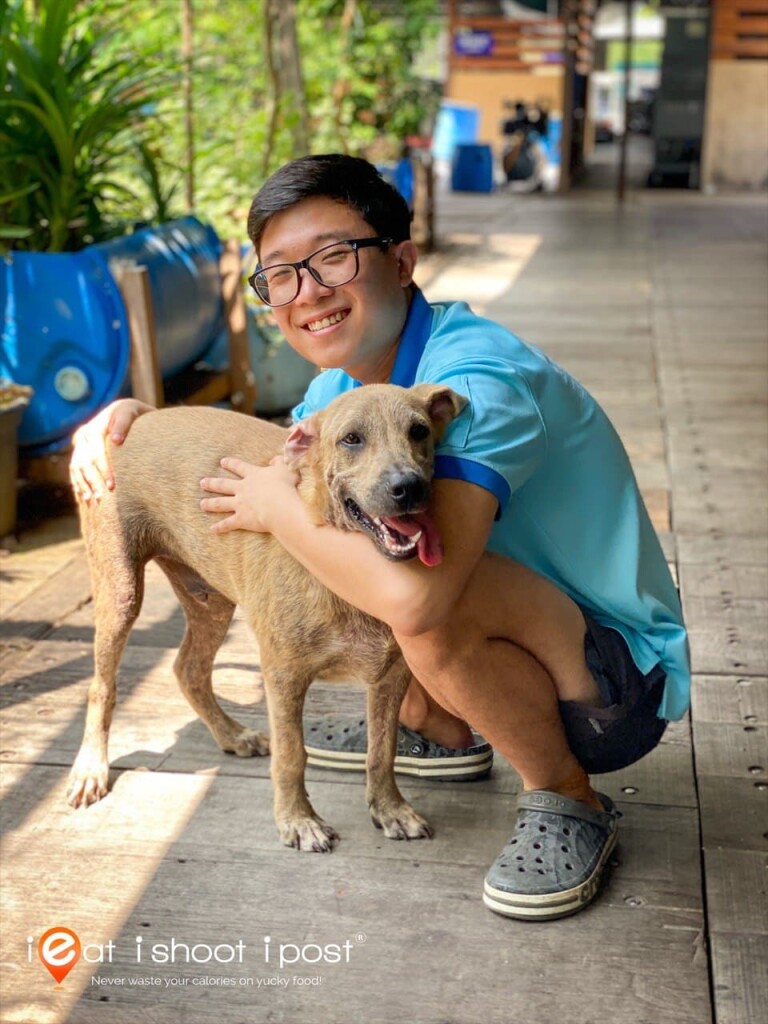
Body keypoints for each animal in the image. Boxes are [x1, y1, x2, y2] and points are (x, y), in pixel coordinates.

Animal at [69, 382, 468, 847]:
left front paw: (390, 809)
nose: (409, 488)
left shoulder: (391, 676)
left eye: (419, 431)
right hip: (121, 594)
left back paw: (232, 735)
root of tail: (143, 418)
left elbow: (381, 751)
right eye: (351, 439)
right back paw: (91, 769)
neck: (345, 565)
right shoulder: (283, 674)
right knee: (101, 687)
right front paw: (298, 820)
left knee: (188, 669)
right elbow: (292, 755)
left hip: (211, 601)